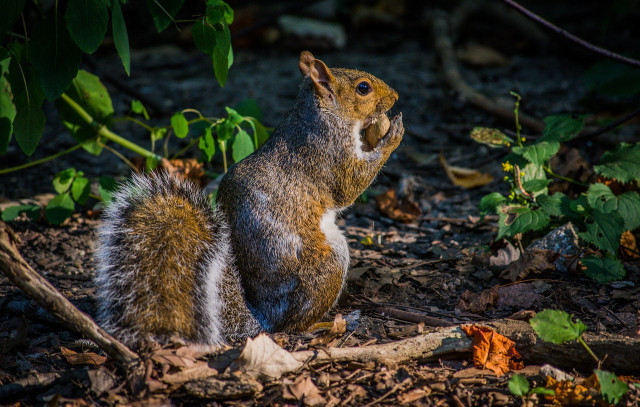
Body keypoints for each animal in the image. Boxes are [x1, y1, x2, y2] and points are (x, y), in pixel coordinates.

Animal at [94, 51, 404, 350]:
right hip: (328, 263)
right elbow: (349, 185)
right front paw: (391, 135)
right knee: (294, 326)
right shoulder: (328, 151)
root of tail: (264, 318)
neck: (320, 114)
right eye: (363, 88)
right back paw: (326, 324)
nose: (396, 96)